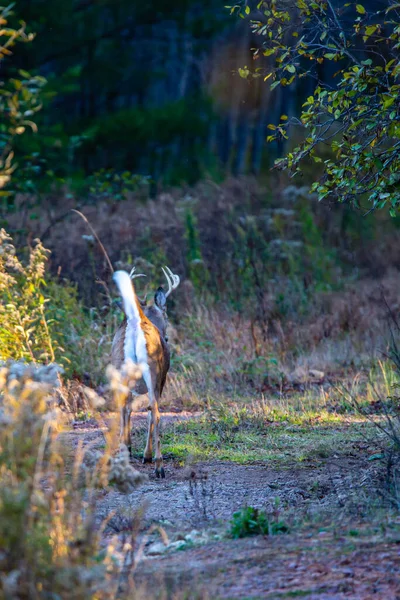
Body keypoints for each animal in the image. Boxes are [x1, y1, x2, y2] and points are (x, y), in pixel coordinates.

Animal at [112, 268, 181, 478]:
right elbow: (151, 413)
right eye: (166, 315)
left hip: (120, 367)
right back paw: (158, 465)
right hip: (153, 371)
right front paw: (147, 455)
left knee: (124, 408)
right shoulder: (162, 380)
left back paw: (124, 452)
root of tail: (136, 321)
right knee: (155, 411)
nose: (167, 336)